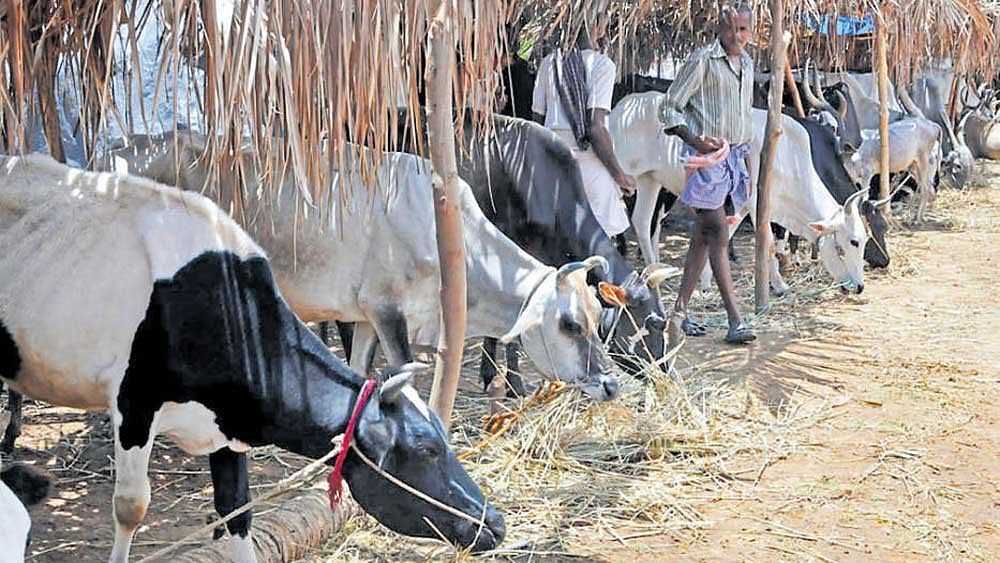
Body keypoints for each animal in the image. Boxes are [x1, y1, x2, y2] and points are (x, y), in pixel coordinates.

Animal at [608, 91, 868, 296]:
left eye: (864, 241)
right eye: (851, 243)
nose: (859, 287)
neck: (789, 158)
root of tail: (619, 109)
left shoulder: (743, 207)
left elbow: (725, 235)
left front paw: (705, 283)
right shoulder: (757, 204)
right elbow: (769, 245)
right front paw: (779, 286)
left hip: (649, 180)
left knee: (642, 222)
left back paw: (654, 273)